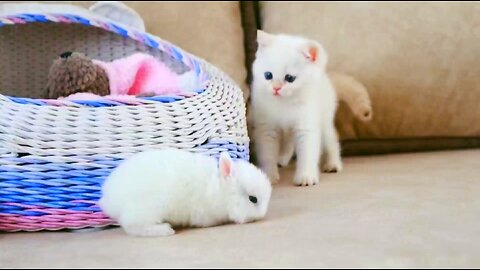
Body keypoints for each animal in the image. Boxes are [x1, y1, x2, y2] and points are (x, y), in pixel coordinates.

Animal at [249, 29, 344, 186]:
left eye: (290, 78)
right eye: (268, 75)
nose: (276, 89)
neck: (285, 104)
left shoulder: (307, 125)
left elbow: (307, 152)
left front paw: (306, 177)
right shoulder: (266, 128)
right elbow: (267, 153)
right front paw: (269, 176)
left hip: (325, 119)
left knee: (331, 140)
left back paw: (333, 163)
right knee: (289, 143)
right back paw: (282, 159)